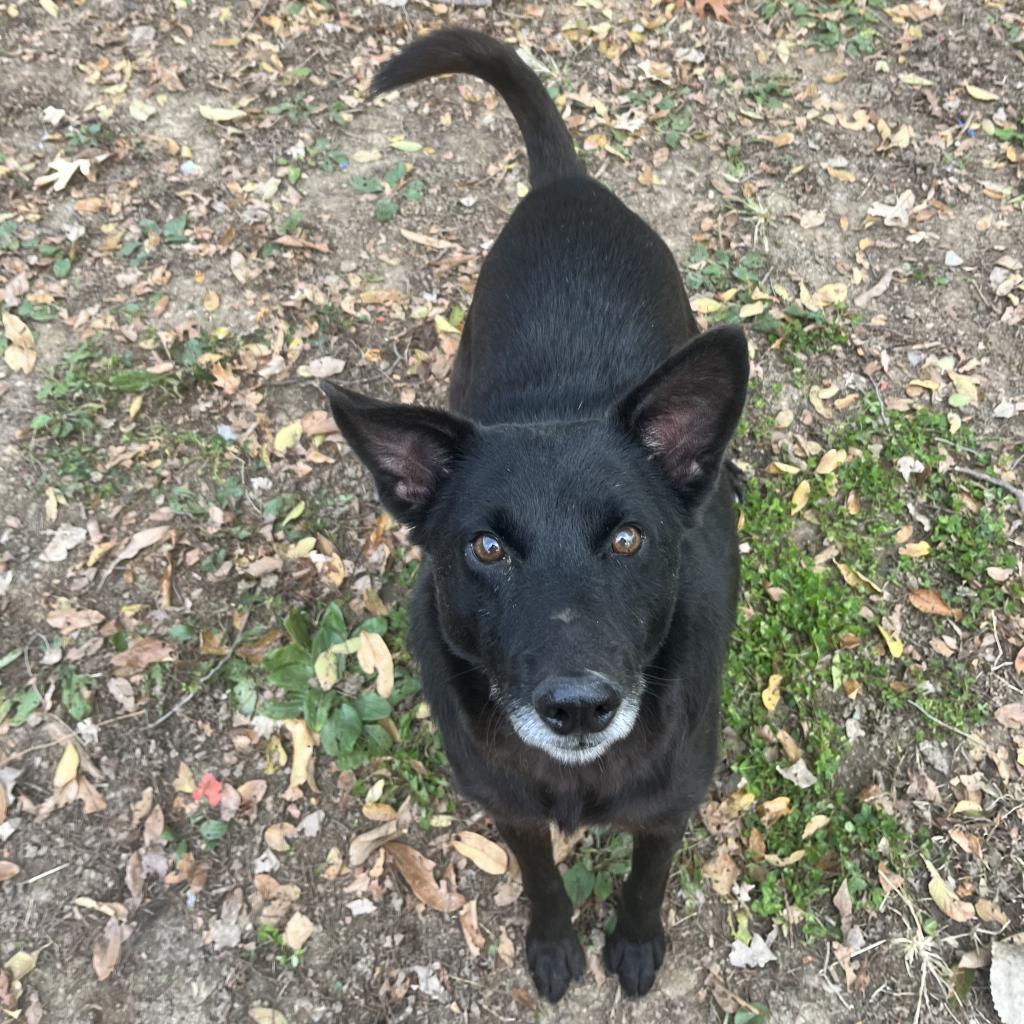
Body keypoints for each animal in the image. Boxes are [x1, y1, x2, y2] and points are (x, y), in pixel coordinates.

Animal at [323, 29, 749, 999]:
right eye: (486, 548)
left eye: (628, 538)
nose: (579, 707)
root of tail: (564, 182)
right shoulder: (505, 806)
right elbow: (542, 878)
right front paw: (555, 945)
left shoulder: (671, 807)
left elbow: (646, 877)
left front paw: (633, 943)